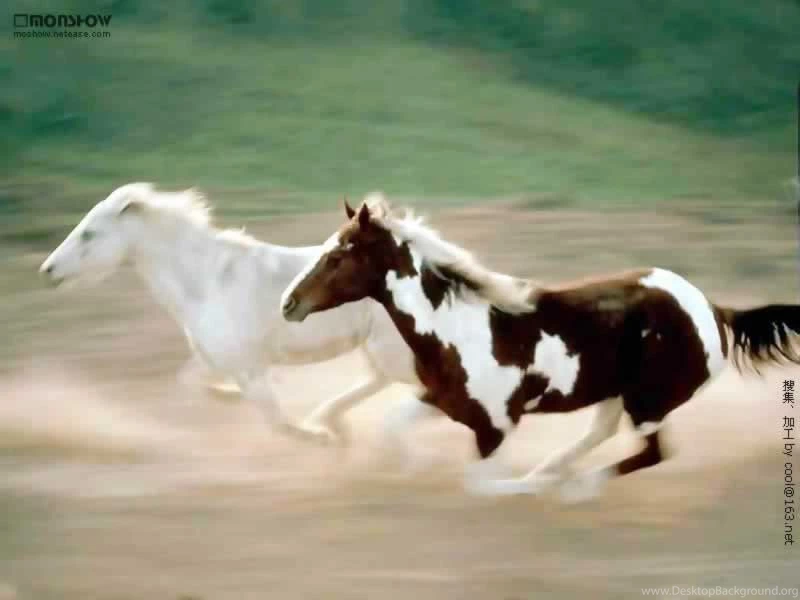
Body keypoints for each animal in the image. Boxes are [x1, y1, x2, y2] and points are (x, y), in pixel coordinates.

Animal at [38, 183, 442, 453]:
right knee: (378, 381)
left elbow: (275, 418)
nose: (48, 270)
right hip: (379, 348)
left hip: (393, 350)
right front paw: (231, 397)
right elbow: (191, 382)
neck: (204, 282)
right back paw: (332, 420)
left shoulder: (249, 366)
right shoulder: (215, 358)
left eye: (89, 233)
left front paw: (320, 440)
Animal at [280, 196, 800, 500]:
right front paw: (407, 470)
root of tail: (715, 310)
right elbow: (392, 427)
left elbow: (480, 485)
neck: (456, 328)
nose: (289, 303)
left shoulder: (495, 426)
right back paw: (550, 473)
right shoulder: (442, 401)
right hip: (617, 392)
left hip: (649, 400)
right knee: (601, 433)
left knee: (652, 453)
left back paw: (572, 487)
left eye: (339, 254)